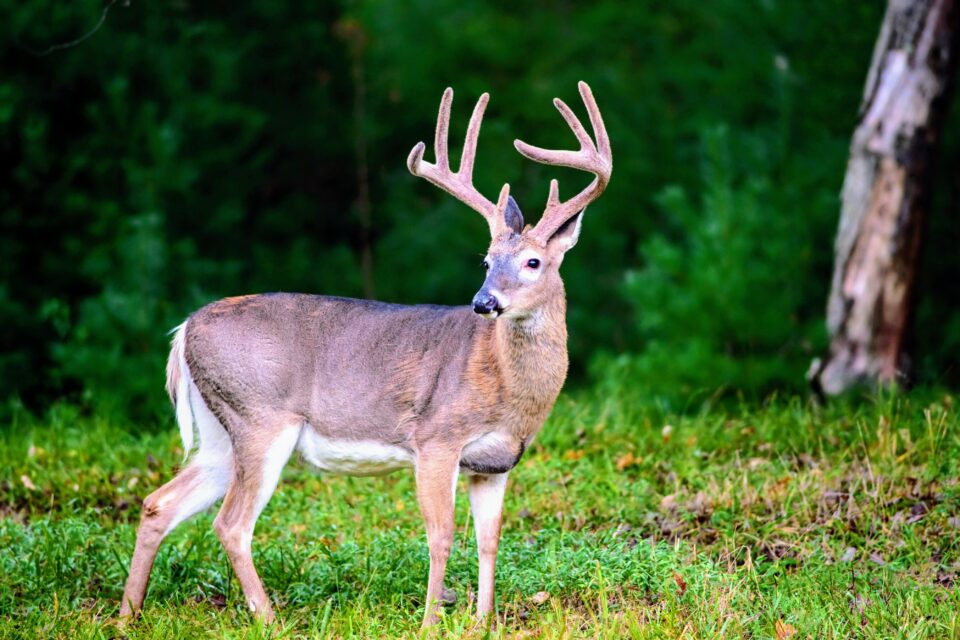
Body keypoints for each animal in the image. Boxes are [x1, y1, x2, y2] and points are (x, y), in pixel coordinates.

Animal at [118, 81, 611, 627]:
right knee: (231, 523)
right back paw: (270, 620)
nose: (484, 302)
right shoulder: (435, 437)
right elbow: (441, 536)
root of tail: (184, 330)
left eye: (532, 262)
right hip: (259, 417)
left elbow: (489, 541)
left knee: (159, 502)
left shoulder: (494, 464)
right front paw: (430, 623)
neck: (507, 388)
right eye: (486, 261)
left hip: (219, 432)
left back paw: (126, 615)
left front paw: (483, 622)